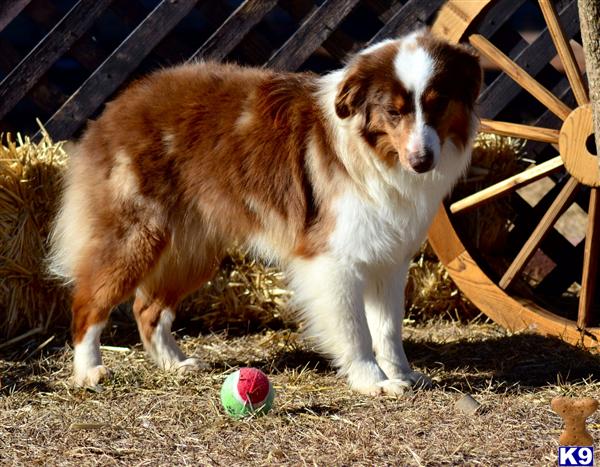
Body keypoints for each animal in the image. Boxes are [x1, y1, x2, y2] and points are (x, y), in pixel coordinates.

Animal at [48, 29, 482, 394]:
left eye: (438, 104)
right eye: (393, 113)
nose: (422, 161)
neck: (372, 151)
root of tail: (117, 104)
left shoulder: (388, 258)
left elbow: (389, 329)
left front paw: (402, 374)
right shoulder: (335, 260)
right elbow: (356, 329)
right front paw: (370, 381)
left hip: (191, 251)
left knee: (146, 308)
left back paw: (174, 364)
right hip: (135, 236)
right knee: (88, 303)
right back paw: (88, 371)